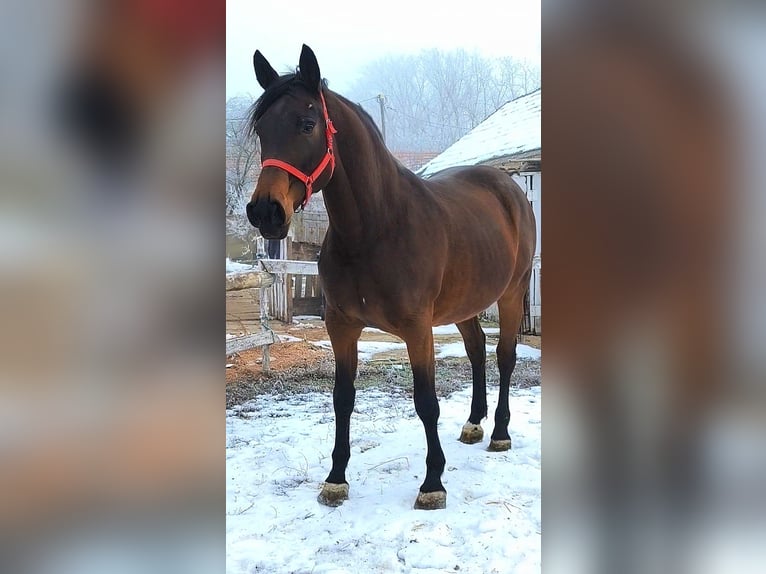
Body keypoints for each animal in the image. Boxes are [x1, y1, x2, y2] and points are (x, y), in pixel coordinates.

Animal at [246, 45, 536, 510]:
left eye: (307, 124)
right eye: (261, 131)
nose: (265, 212)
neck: (376, 229)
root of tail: (509, 187)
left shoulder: (418, 330)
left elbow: (426, 402)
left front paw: (432, 483)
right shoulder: (341, 326)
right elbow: (342, 398)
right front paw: (336, 479)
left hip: (511, 293)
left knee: (504, 357)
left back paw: (500, 433)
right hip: (464, 305)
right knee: (476, 351)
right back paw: (474, 424)